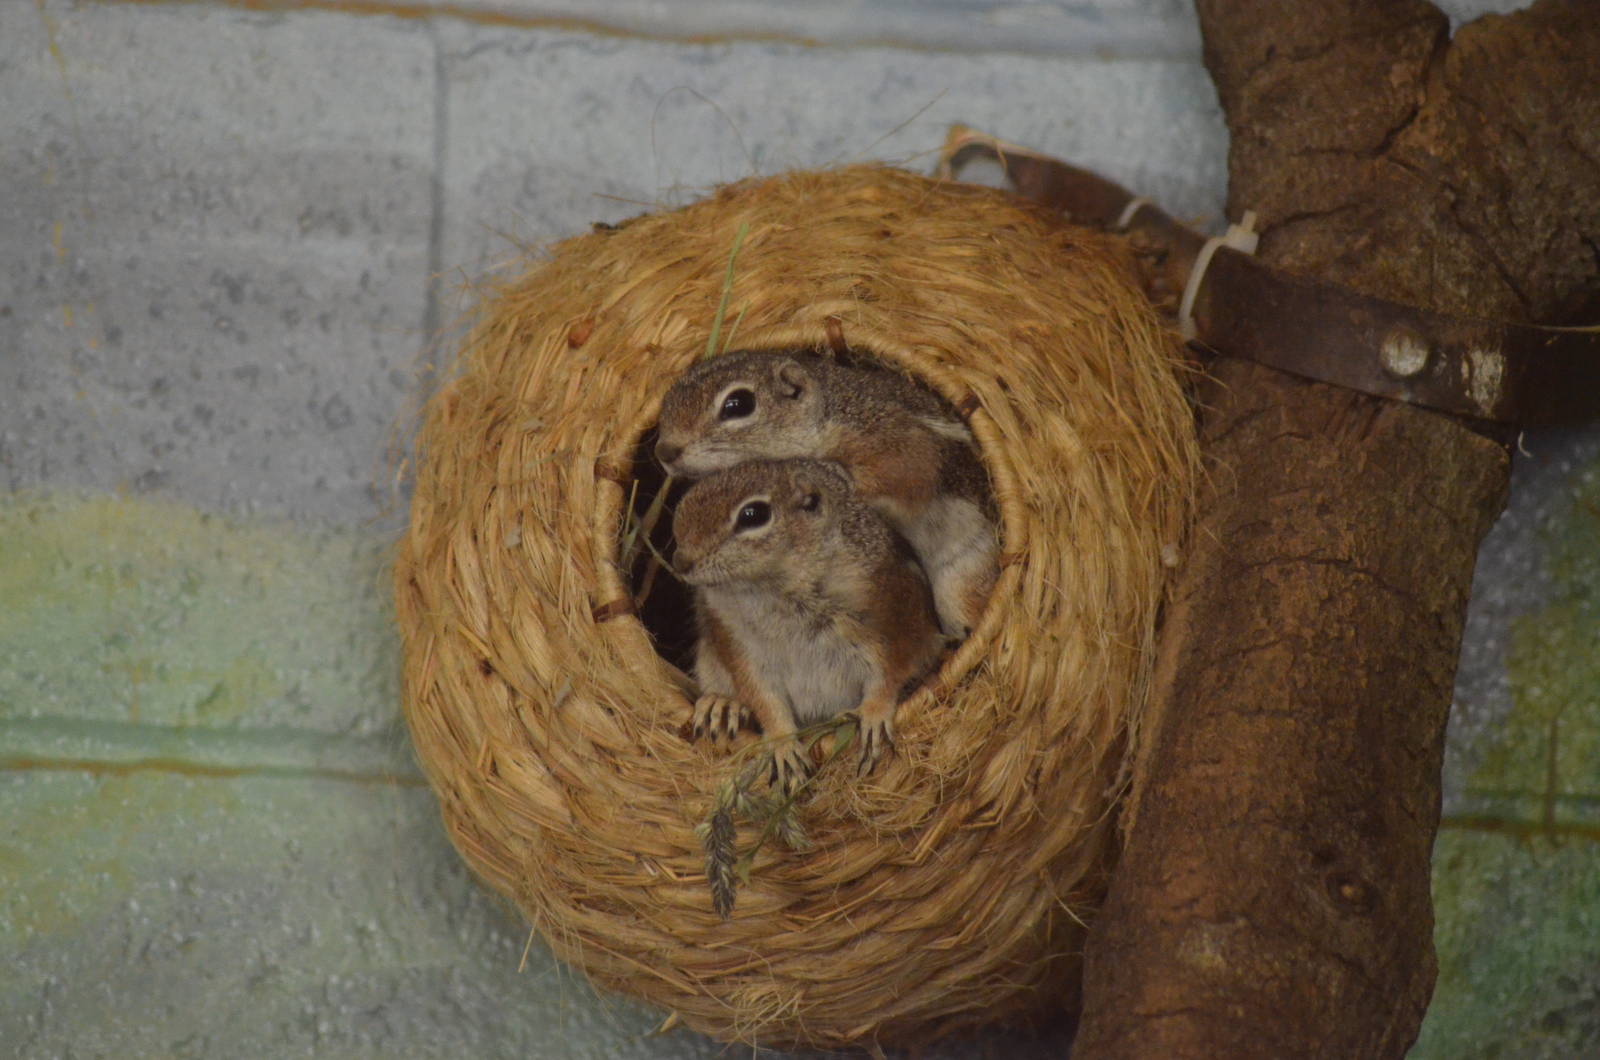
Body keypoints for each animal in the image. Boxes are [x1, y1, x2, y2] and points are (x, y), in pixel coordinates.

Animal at [656, 350, 998, 639]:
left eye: (738, 404)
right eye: (668, 398)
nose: (664, 451)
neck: (826, 412)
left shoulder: (893, 438)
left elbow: (904, 473)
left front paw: (835, 473)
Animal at [671, 458, 945, 792]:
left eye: (753, 514)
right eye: (688, 495)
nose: (679, 562)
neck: (774, 590)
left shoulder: (893, 623)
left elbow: (889, 674)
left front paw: (874, 713)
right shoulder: (738, 646)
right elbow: (764, 699)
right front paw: (782, 743)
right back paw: (721, 704)